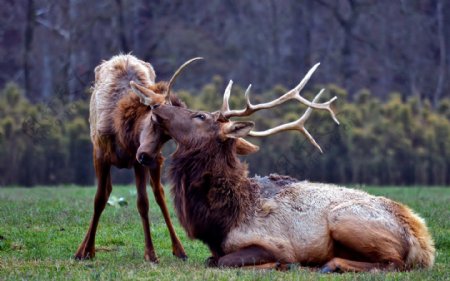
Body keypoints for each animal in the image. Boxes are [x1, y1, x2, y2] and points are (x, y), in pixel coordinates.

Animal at [149, 64, 434, 272]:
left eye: (200, 116)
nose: (158, 106)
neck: (220, 221)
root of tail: (424, 244)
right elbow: (211, 259)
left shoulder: (274, 243)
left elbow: (222, 262)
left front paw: (280, 264)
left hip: (345, 220)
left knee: (394, 263)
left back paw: (329, 265)